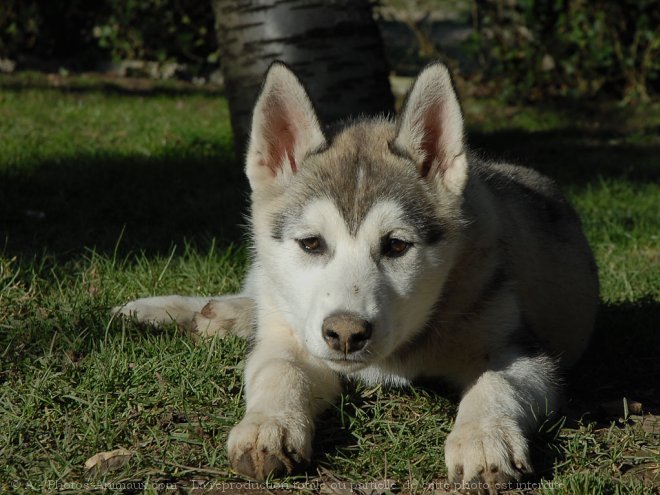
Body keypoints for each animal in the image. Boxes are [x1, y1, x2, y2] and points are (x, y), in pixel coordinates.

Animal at [113, 62, 600, 492]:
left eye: (396, 246)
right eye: (312, 243)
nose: (345, 334)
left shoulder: (524, 351)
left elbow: (495, 383)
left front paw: (483, 439)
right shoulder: (293, 342)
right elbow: (279, 369)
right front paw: (267, 425)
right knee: (259, 296)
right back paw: (177, 311)